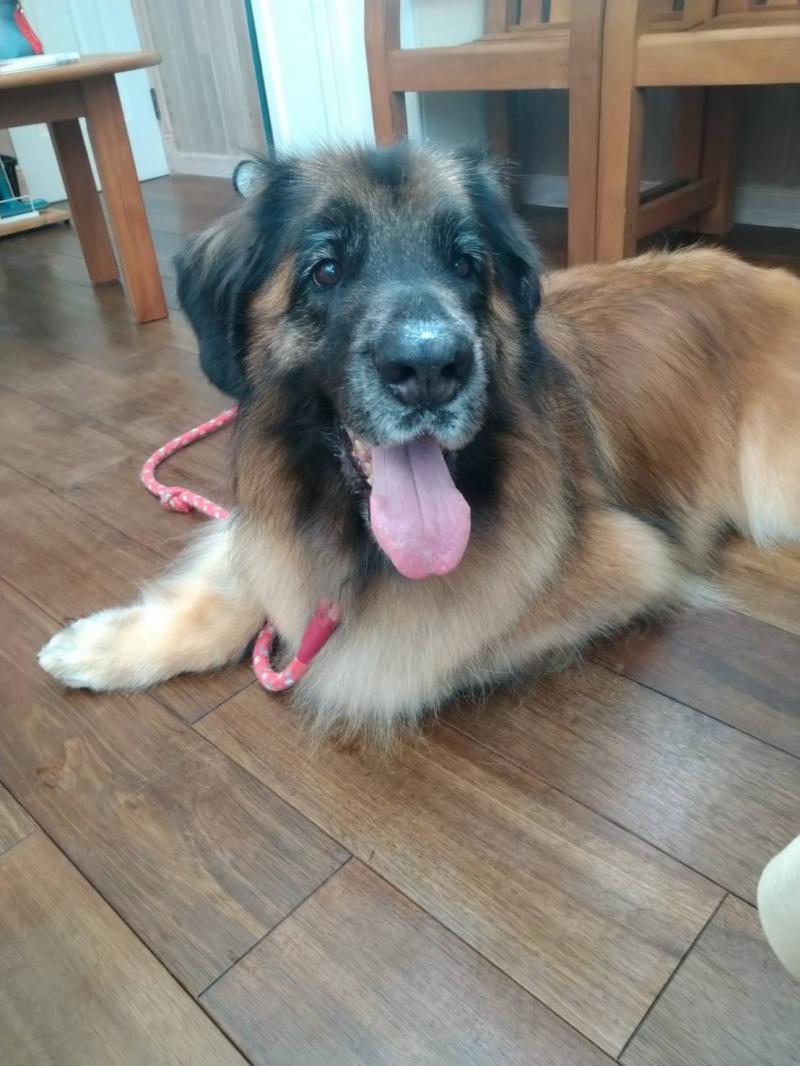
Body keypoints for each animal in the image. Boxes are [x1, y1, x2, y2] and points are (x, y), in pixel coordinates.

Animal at [39, 144, 800, 737]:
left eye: (466, 264)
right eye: (326, 269)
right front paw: (108, 646)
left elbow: (403, 645)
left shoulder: (625, 558)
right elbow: (248, 580)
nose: (431, 368)